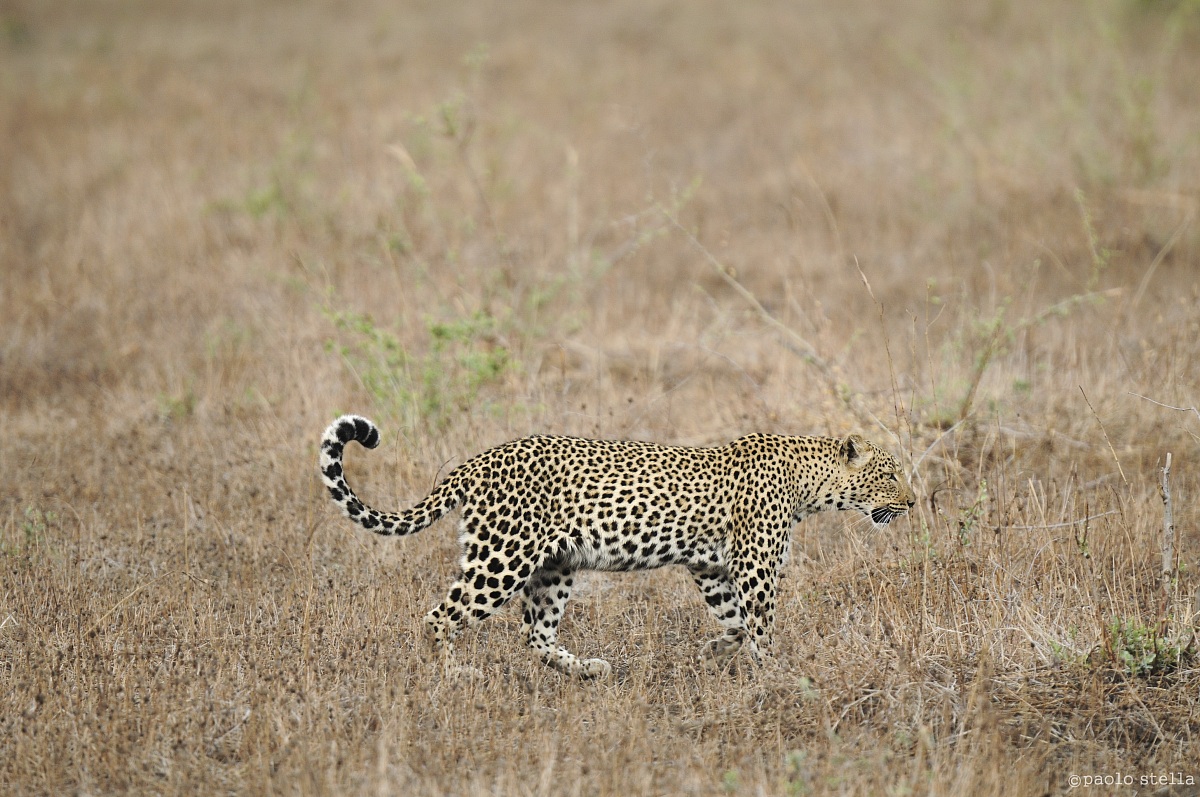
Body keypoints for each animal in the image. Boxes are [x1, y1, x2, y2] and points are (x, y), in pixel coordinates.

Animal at [319, 414, 915, 678]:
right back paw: (453, 675)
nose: (912, 502)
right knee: (440, 616)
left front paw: (713, 653)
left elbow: (733, 623)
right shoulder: (753, 567)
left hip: (554, 566)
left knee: (536, 634)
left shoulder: (711, 567)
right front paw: (777, 676)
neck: (809, 483)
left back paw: (587, 668)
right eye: (889, 474)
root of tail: (476, 461)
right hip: (503, 557)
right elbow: (762, 626)